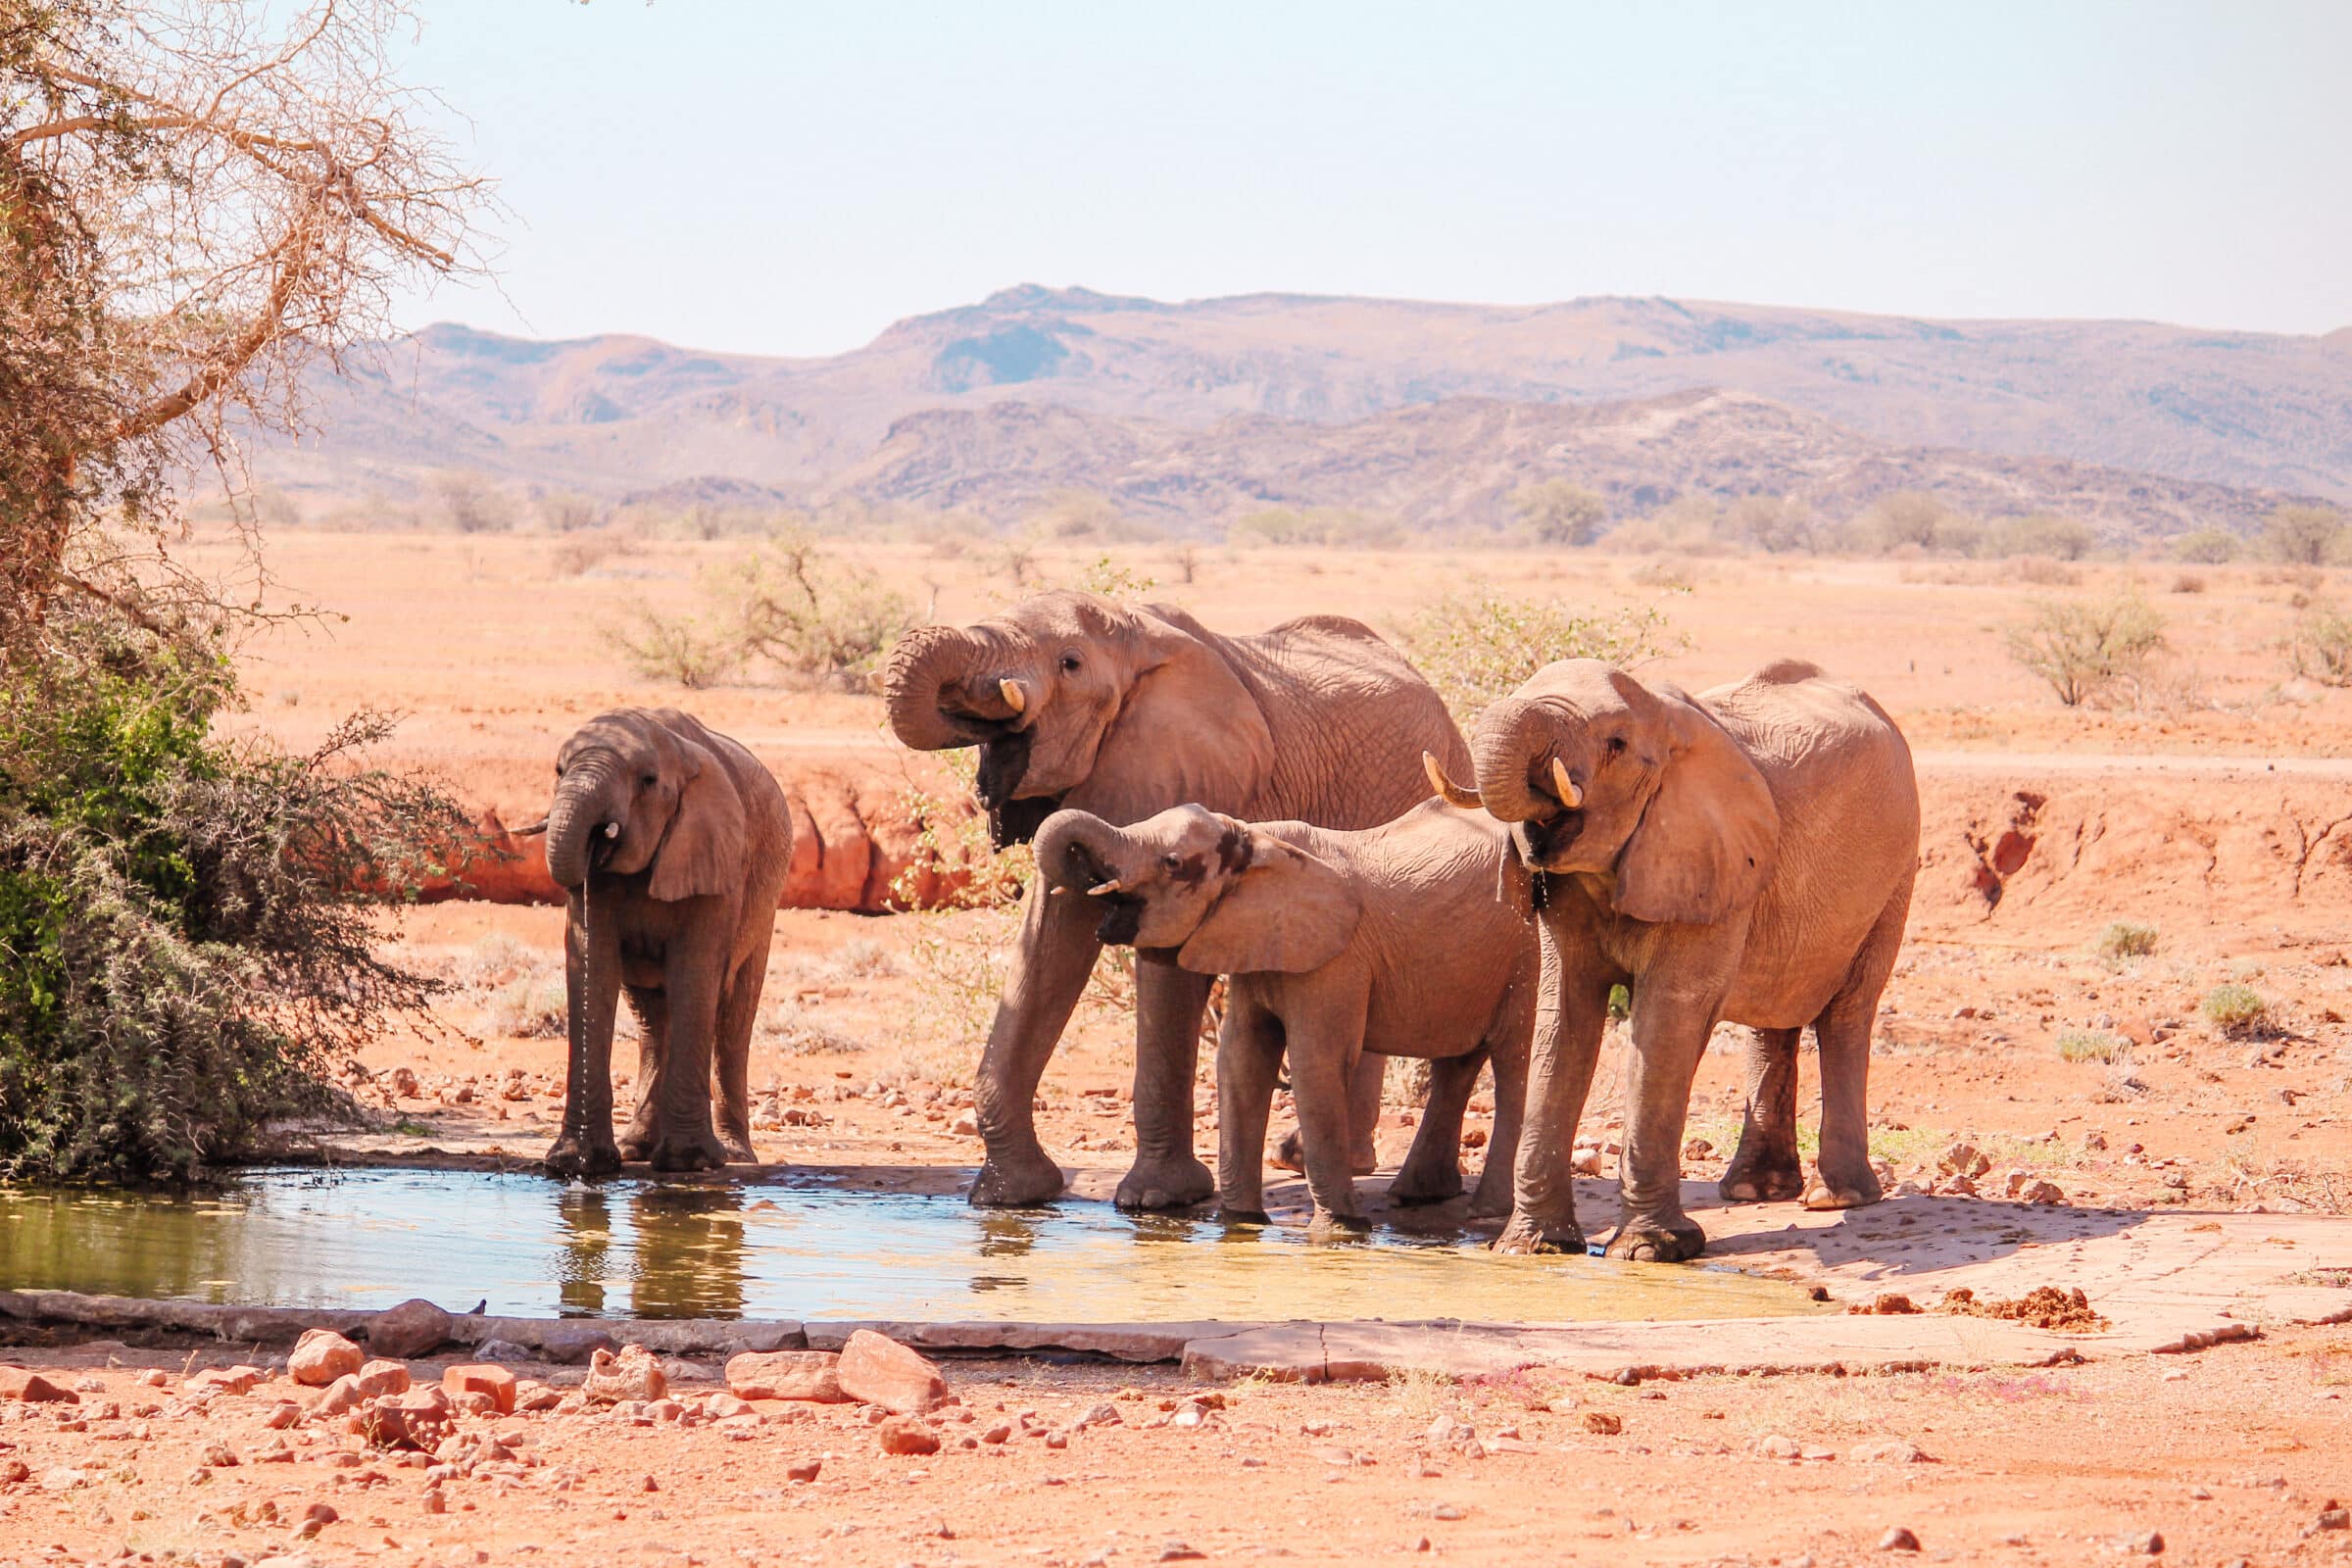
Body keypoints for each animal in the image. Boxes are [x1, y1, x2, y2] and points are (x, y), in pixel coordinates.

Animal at [538, 710, 795, 1175]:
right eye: (559, 771)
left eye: (648, 781)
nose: (598, 837)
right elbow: (593, 964)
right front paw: (579, 1164)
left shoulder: (717, 856)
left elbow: (695, 971)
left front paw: (689, 1163)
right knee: (653, 1018)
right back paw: (636, 1148)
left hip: (766, 899)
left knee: (732, 1019)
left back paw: (734, 1156)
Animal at [884, 592, 1467, 1212]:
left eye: (1070, 664)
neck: (1136, 635)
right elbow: (1048, 944)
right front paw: (1009, 1197)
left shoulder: (1198, 778)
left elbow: (1164, 961)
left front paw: (1155, 1200)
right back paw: (1304, 1157)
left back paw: (1320, 1159)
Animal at [1039, 804, 1533, 1231]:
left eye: (1172, 863)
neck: (1257, 841)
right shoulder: (1256, 943)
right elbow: (1241, 1061)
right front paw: (1241, 1225)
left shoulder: (1336, 959)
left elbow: (1316, 1064)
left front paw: (1341, 1231)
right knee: (1460, 1061)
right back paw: (1415, 1195)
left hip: (1528, 953)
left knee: (1514, 1064)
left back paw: (1487, 1209)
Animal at [1430, 658, 1909, 1259]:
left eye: (1615, 744)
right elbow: (1563, 1021)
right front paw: (1531, 1249)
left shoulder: (1706, 857)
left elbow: (1664, 1023)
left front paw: (1650, 1251)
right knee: (1772, 1017)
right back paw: (1754, 1191)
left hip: (1893, 878)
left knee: (1847, 1011)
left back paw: (1835, 1199)